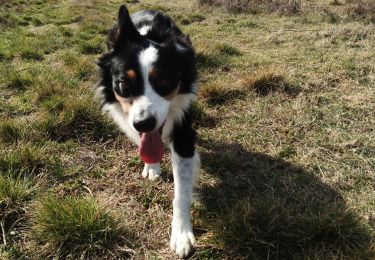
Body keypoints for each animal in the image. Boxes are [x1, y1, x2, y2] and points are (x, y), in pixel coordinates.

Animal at [95, 4, 201, 258]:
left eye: (163, 82)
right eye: (123, 84)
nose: (143, 124)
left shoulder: (184, 130)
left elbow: (181, 192)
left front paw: (181, 234)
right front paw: (152, 166)